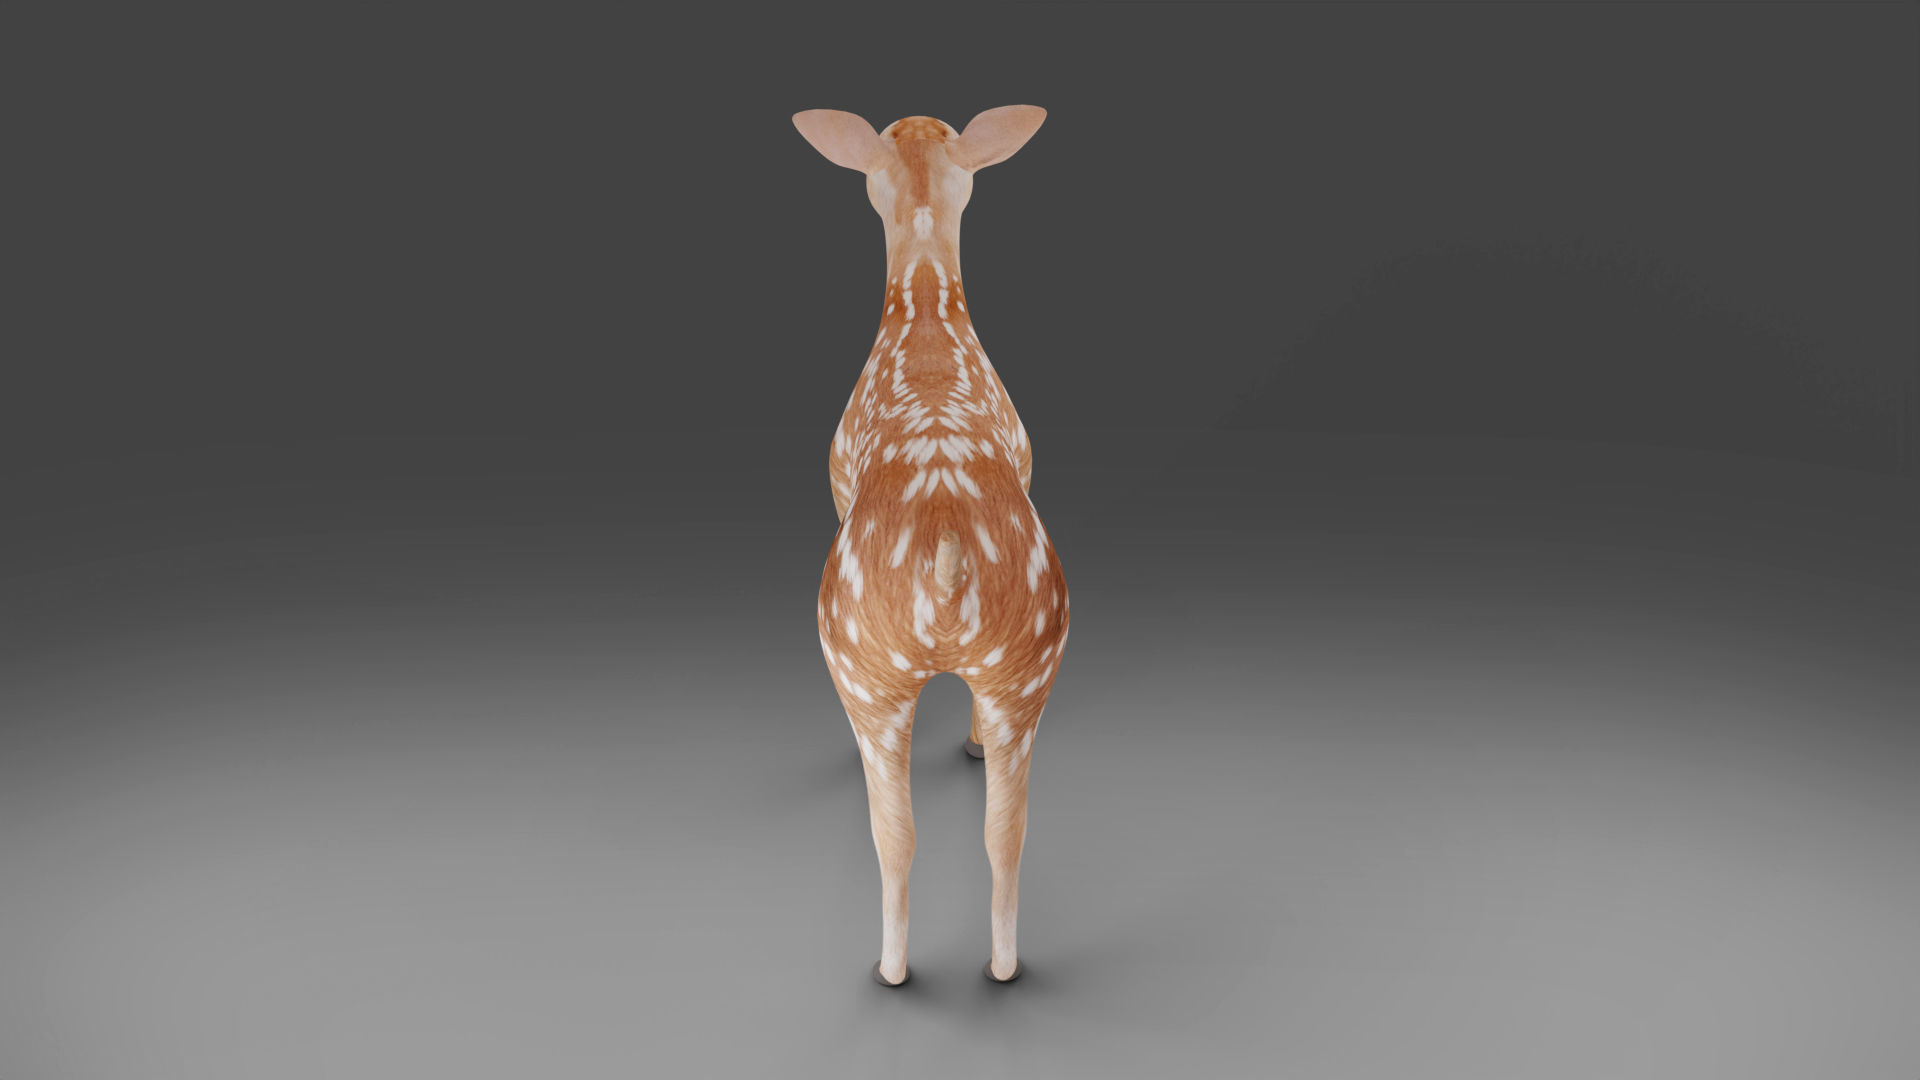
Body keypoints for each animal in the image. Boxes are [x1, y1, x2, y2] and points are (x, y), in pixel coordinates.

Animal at [794, 106, 1068, 988]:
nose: (916, 121)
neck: (924, 313)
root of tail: (947, 568)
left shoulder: (835, 469)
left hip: (861, 662)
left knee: (895, 834)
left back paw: (890, 970)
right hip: (1028, 659)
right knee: (1005, 834)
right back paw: (1003, 967)